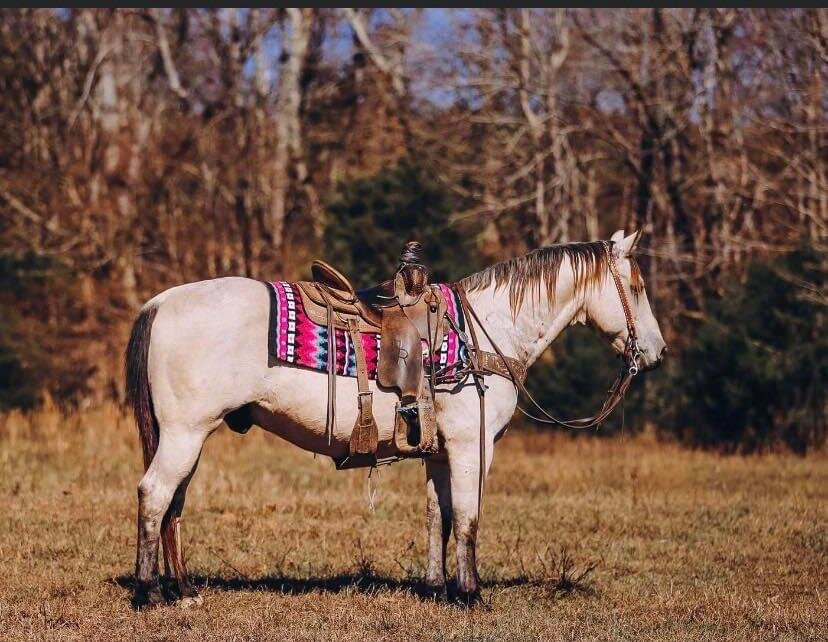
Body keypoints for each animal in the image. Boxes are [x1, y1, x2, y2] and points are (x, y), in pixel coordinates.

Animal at [125, 230, 666, 608]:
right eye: (638, 286)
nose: (657, 352)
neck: (482, 335)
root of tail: (161, 302)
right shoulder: (472, 447)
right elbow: (467, 517)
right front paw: (471, 595)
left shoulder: (439, 452)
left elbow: (437, 516)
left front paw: (437, 588)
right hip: (185, 435)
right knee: (154, 495)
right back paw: (149, 592)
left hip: (187, 436)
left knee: (174, 504)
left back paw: (183, 590)